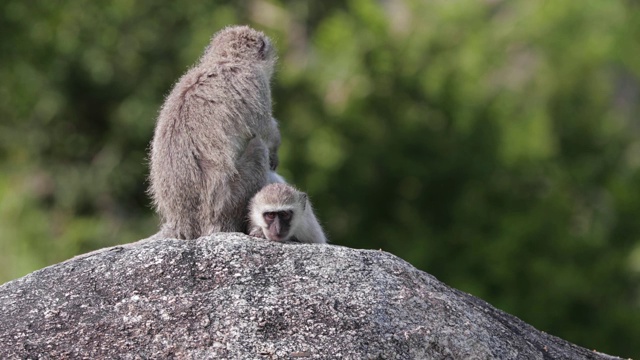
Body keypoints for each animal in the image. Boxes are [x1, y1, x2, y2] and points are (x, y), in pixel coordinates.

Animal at [150, 26, 282, 239]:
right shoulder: (257, 83)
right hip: (227, 206)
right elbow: (264, 130)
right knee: (258, 147)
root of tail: (182, 221)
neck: (227, 59)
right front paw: (275, 148)